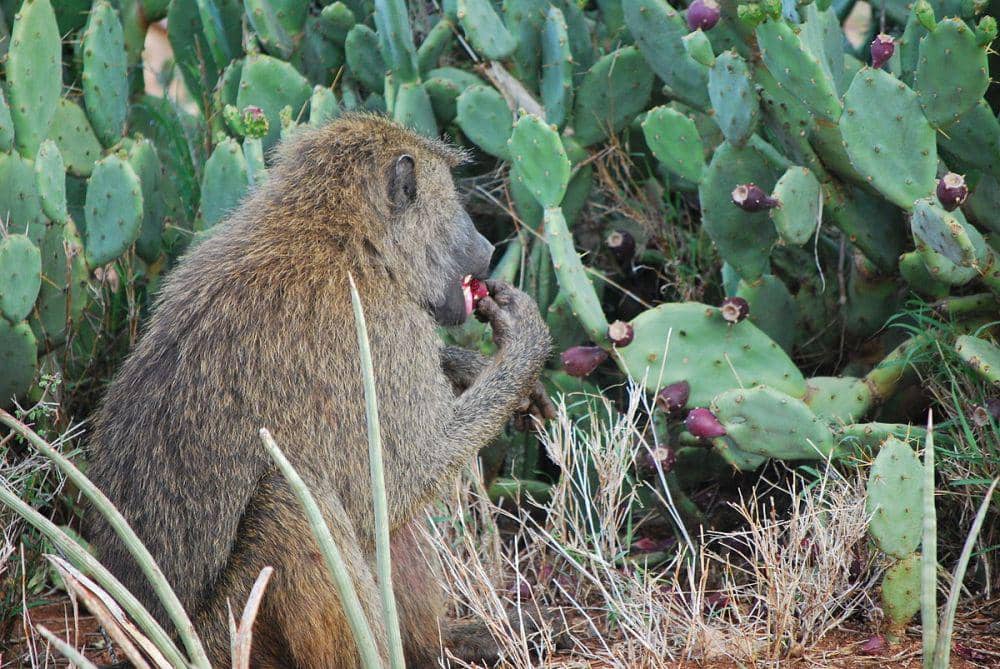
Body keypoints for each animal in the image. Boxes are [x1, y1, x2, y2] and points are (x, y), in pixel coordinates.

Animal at [86, 113, 556, 668]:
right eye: (454, 203)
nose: (486, 248)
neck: (340, 238)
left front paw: (470, 366)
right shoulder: (380, 323)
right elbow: (399, 484)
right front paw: (523, 345)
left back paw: (447, 643)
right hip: (232, 634)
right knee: (291, 499)